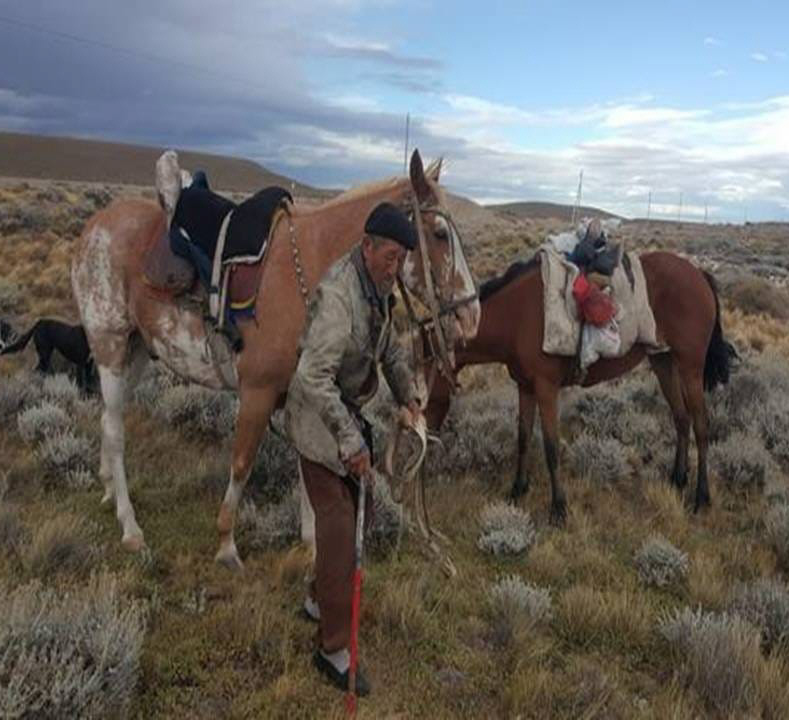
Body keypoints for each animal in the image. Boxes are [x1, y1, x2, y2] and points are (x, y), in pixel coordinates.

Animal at [72, 152, 480, 568]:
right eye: (439, 234)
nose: (471, 315)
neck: (312, 268)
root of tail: (95, 226)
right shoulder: (258, 391)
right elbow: (242, 462)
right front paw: (227, 544)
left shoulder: (301, 392)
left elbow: (307, 461)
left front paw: (311, 542)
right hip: (110, 345)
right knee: (115, 430)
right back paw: (130, 527)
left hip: (137, 349)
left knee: (108, 419)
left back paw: (108, 490)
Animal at [428, 250, 736, 520]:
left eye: (425, 393)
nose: (426, 437)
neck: (515, 318)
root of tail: (698, 273)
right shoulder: (525, 387)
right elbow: (523, 437)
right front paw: (517, 490)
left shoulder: (546, 389)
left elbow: (551, 447)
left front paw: (558, 509)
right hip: (664, 361)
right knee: (681, 418)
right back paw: (677, 479)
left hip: (690, 367)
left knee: (701, 426)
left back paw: (701, 497)